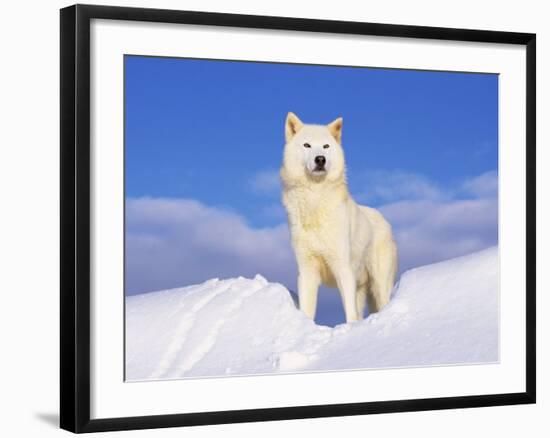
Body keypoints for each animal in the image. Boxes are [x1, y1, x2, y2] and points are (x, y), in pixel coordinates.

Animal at [282, 113, 398, 322]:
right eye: (307, 145)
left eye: (326, 146)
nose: (320, 159)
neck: (315, 201)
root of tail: (384, 219)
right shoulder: (306, 271)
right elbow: (307, 310)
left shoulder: (343, 268)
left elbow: (349, 313)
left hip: (379, 286)